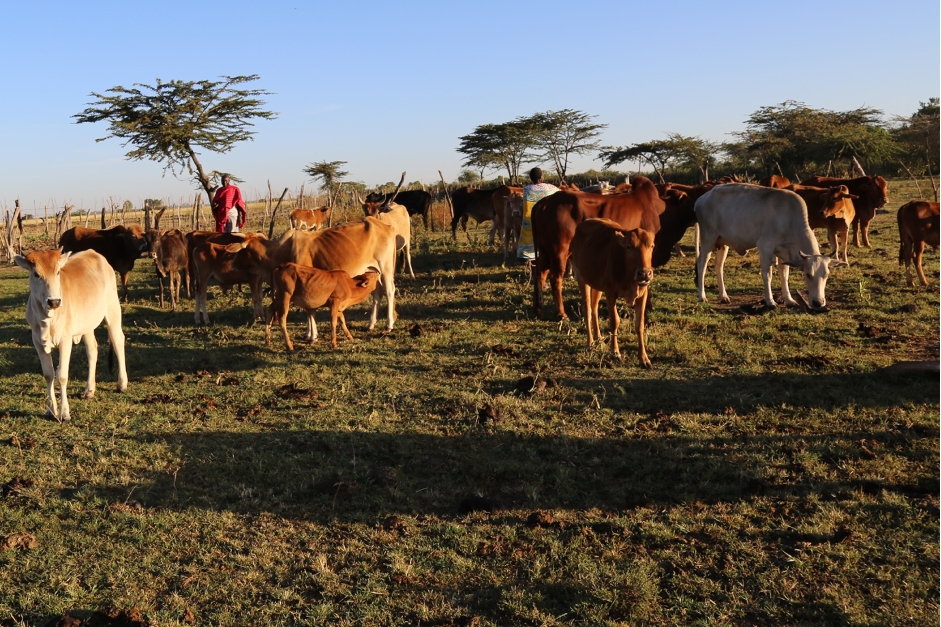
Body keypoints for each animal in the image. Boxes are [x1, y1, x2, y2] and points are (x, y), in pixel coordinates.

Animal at [14, 249, 128, 422]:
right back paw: (89, 390)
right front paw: (50, 409)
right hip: (87, 324)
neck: (47, 318)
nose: (54, 301)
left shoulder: (65, 340)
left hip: (113, 308)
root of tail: (94, 253)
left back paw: (122, 384)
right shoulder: (37, 342)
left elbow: (61, 375)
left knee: (118, 341)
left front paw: (65, 412)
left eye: (58, 272)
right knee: (92, 350)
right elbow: (48, 374)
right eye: (36, 274)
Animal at [226, 217, 398, 336]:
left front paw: (312, 335)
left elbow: (309, 309)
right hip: (373, 270)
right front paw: (309, 333)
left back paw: (389, 324)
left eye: (241, 250)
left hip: (385, 268)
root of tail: (387, 226)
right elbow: (308, 309)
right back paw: (371, 324)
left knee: (389, 291)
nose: (233, 264)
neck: (279, 251)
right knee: (377, 293)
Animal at [531, 175, 665, 319]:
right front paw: (648, 304)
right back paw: (562, 313)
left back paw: (538, 309)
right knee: (555, 277)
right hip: (559, 250)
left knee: (540, 273)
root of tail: (543, 202)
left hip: (544, 250)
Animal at [571, 219, 655, 368]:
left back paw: (598, 338)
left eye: (651, 246)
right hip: (582, 278)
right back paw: (590, 343)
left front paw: (644, 358)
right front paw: (615, 353)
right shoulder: (610, 293)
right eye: (628, 247)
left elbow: (639, 325)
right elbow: (614, 321)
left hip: (597, 285)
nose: (645, 273)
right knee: (587, 309)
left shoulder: (643, 294)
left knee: (594, 308)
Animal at [694, 184, 846, 310]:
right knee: (702, 264)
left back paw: (723, 296)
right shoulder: (765, 247)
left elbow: (784, 276)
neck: (789, 218)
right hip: (708, 239)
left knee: (718, 266)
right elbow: (767, 275)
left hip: (723, 244)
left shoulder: (784, 253)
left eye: (826, 275)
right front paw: (770, 301)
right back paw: (702, 296)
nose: (818, 303)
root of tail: (702, 198)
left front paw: (789, 300)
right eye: (808, 274)